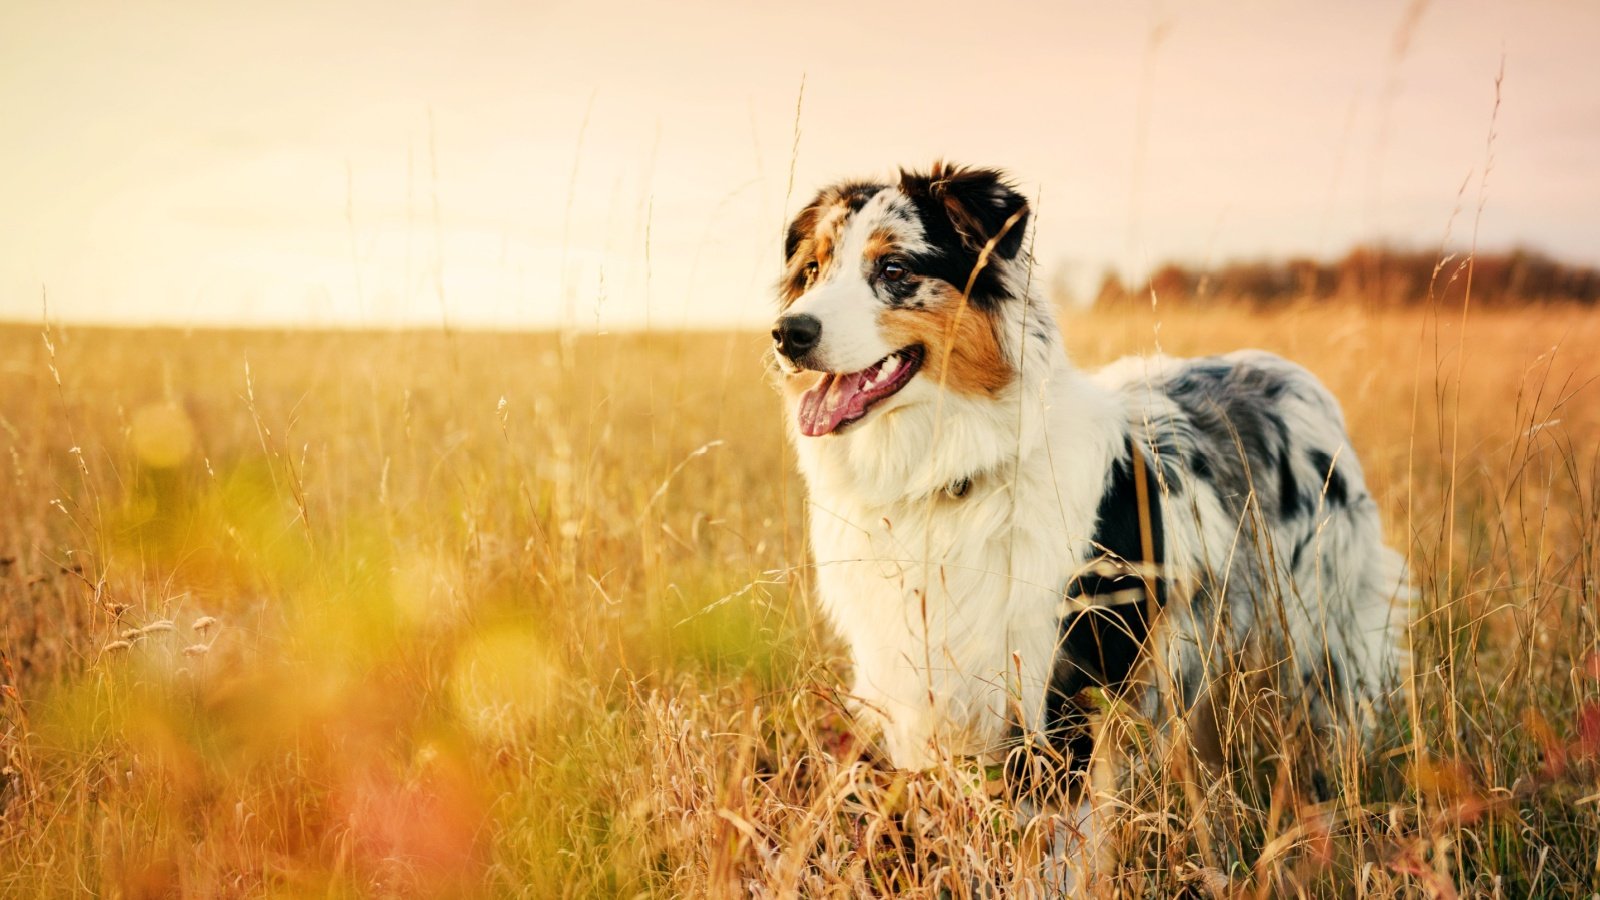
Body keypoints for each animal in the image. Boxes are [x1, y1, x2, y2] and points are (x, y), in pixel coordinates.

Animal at [768, 162, 1408, 864]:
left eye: (894, 268)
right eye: (812, 269)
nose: (789, 333)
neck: (949, 478)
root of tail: (1288, 372)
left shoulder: (1058, 697)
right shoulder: (922, 694)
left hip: (1317, 643)